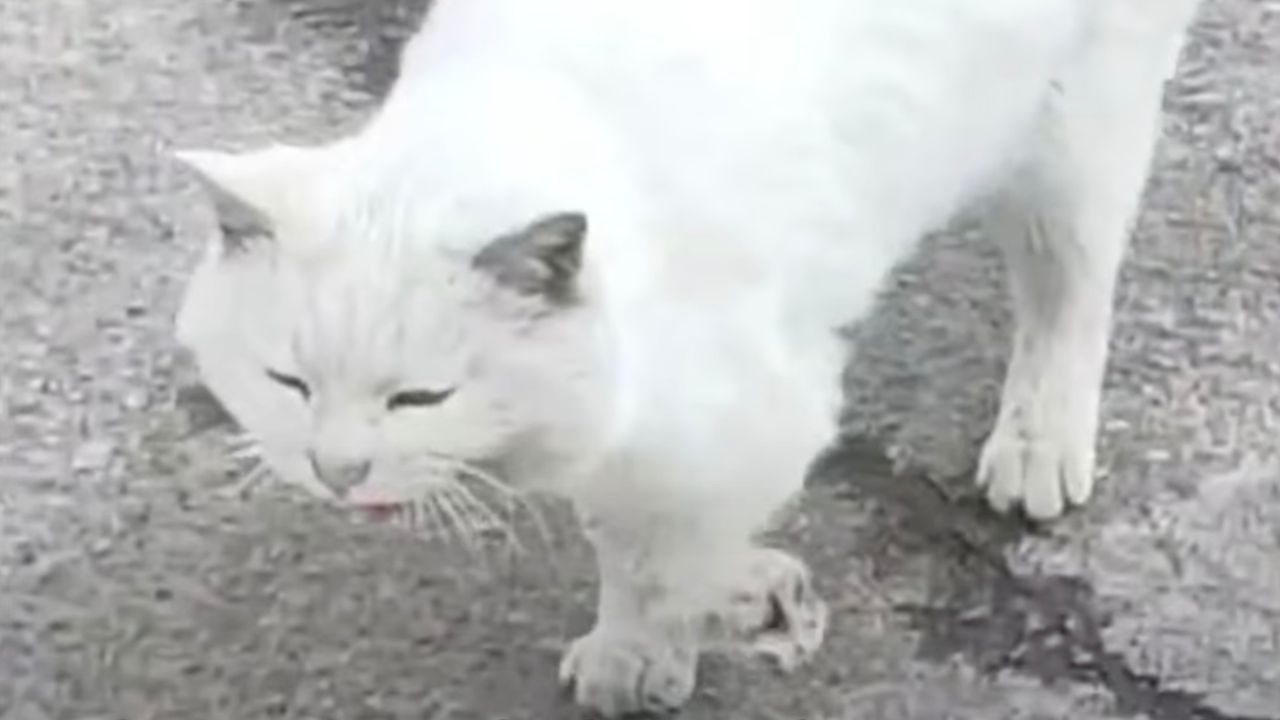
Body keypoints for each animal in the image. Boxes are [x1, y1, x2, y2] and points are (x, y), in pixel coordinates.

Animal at [177, 1, 1198, 712]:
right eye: (288, 384)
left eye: (419, 398)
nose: (336, 470)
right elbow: (628, 534)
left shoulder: (759, 417)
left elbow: (666, 557)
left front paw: (710, 625)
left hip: (1074, 133)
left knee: (1071, 289)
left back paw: (1037, 447)